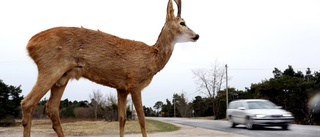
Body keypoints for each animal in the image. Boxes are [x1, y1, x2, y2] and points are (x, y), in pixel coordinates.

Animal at [20, 0, 198, 137]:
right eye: (182, 22)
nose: (197, 36)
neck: (152, 58)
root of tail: (30, 44)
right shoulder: (135, 82)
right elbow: (142, 119)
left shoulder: (121, 88)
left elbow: (122, 119)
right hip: (50, 67)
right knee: (28, 102)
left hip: (62, 77)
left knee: (51, 108)